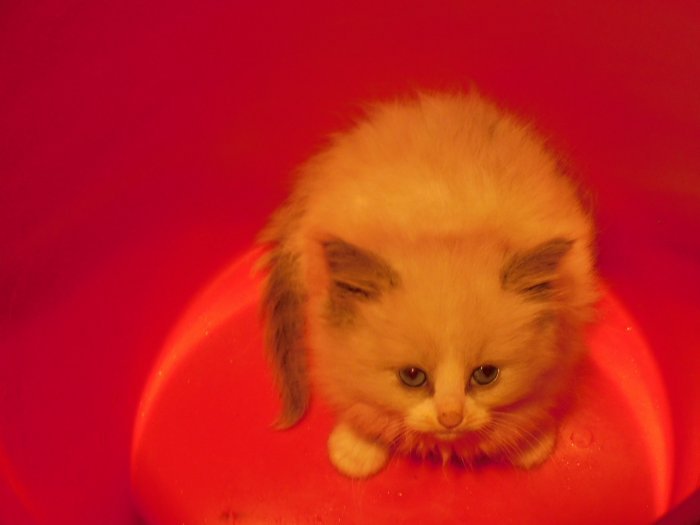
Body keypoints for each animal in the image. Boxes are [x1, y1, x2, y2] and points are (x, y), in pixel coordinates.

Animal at [258, 91, 596, 478]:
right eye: (412, 376)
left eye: (486, 374)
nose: (450, 418)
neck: (447, 229)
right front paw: (356, 451)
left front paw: (531, 444)